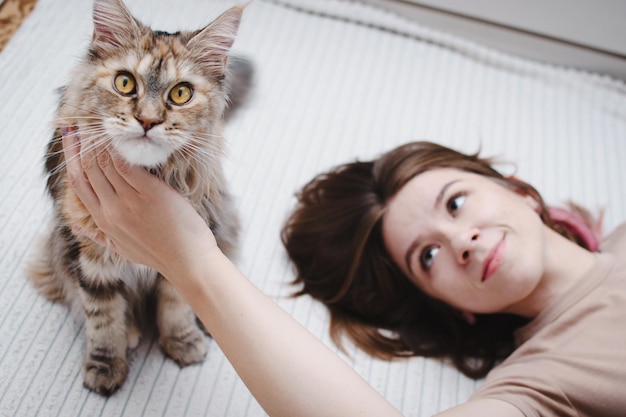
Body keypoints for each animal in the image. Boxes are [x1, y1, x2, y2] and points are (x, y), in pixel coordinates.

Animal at [26, 0, 251, 394]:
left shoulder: (186, 252)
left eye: (181, 93)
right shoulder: (91, 255)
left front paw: (181, 341)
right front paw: (105, 365)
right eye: (125, 83)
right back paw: (130, 333)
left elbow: (175, 305)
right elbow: (102, 317)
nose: (147, 121)